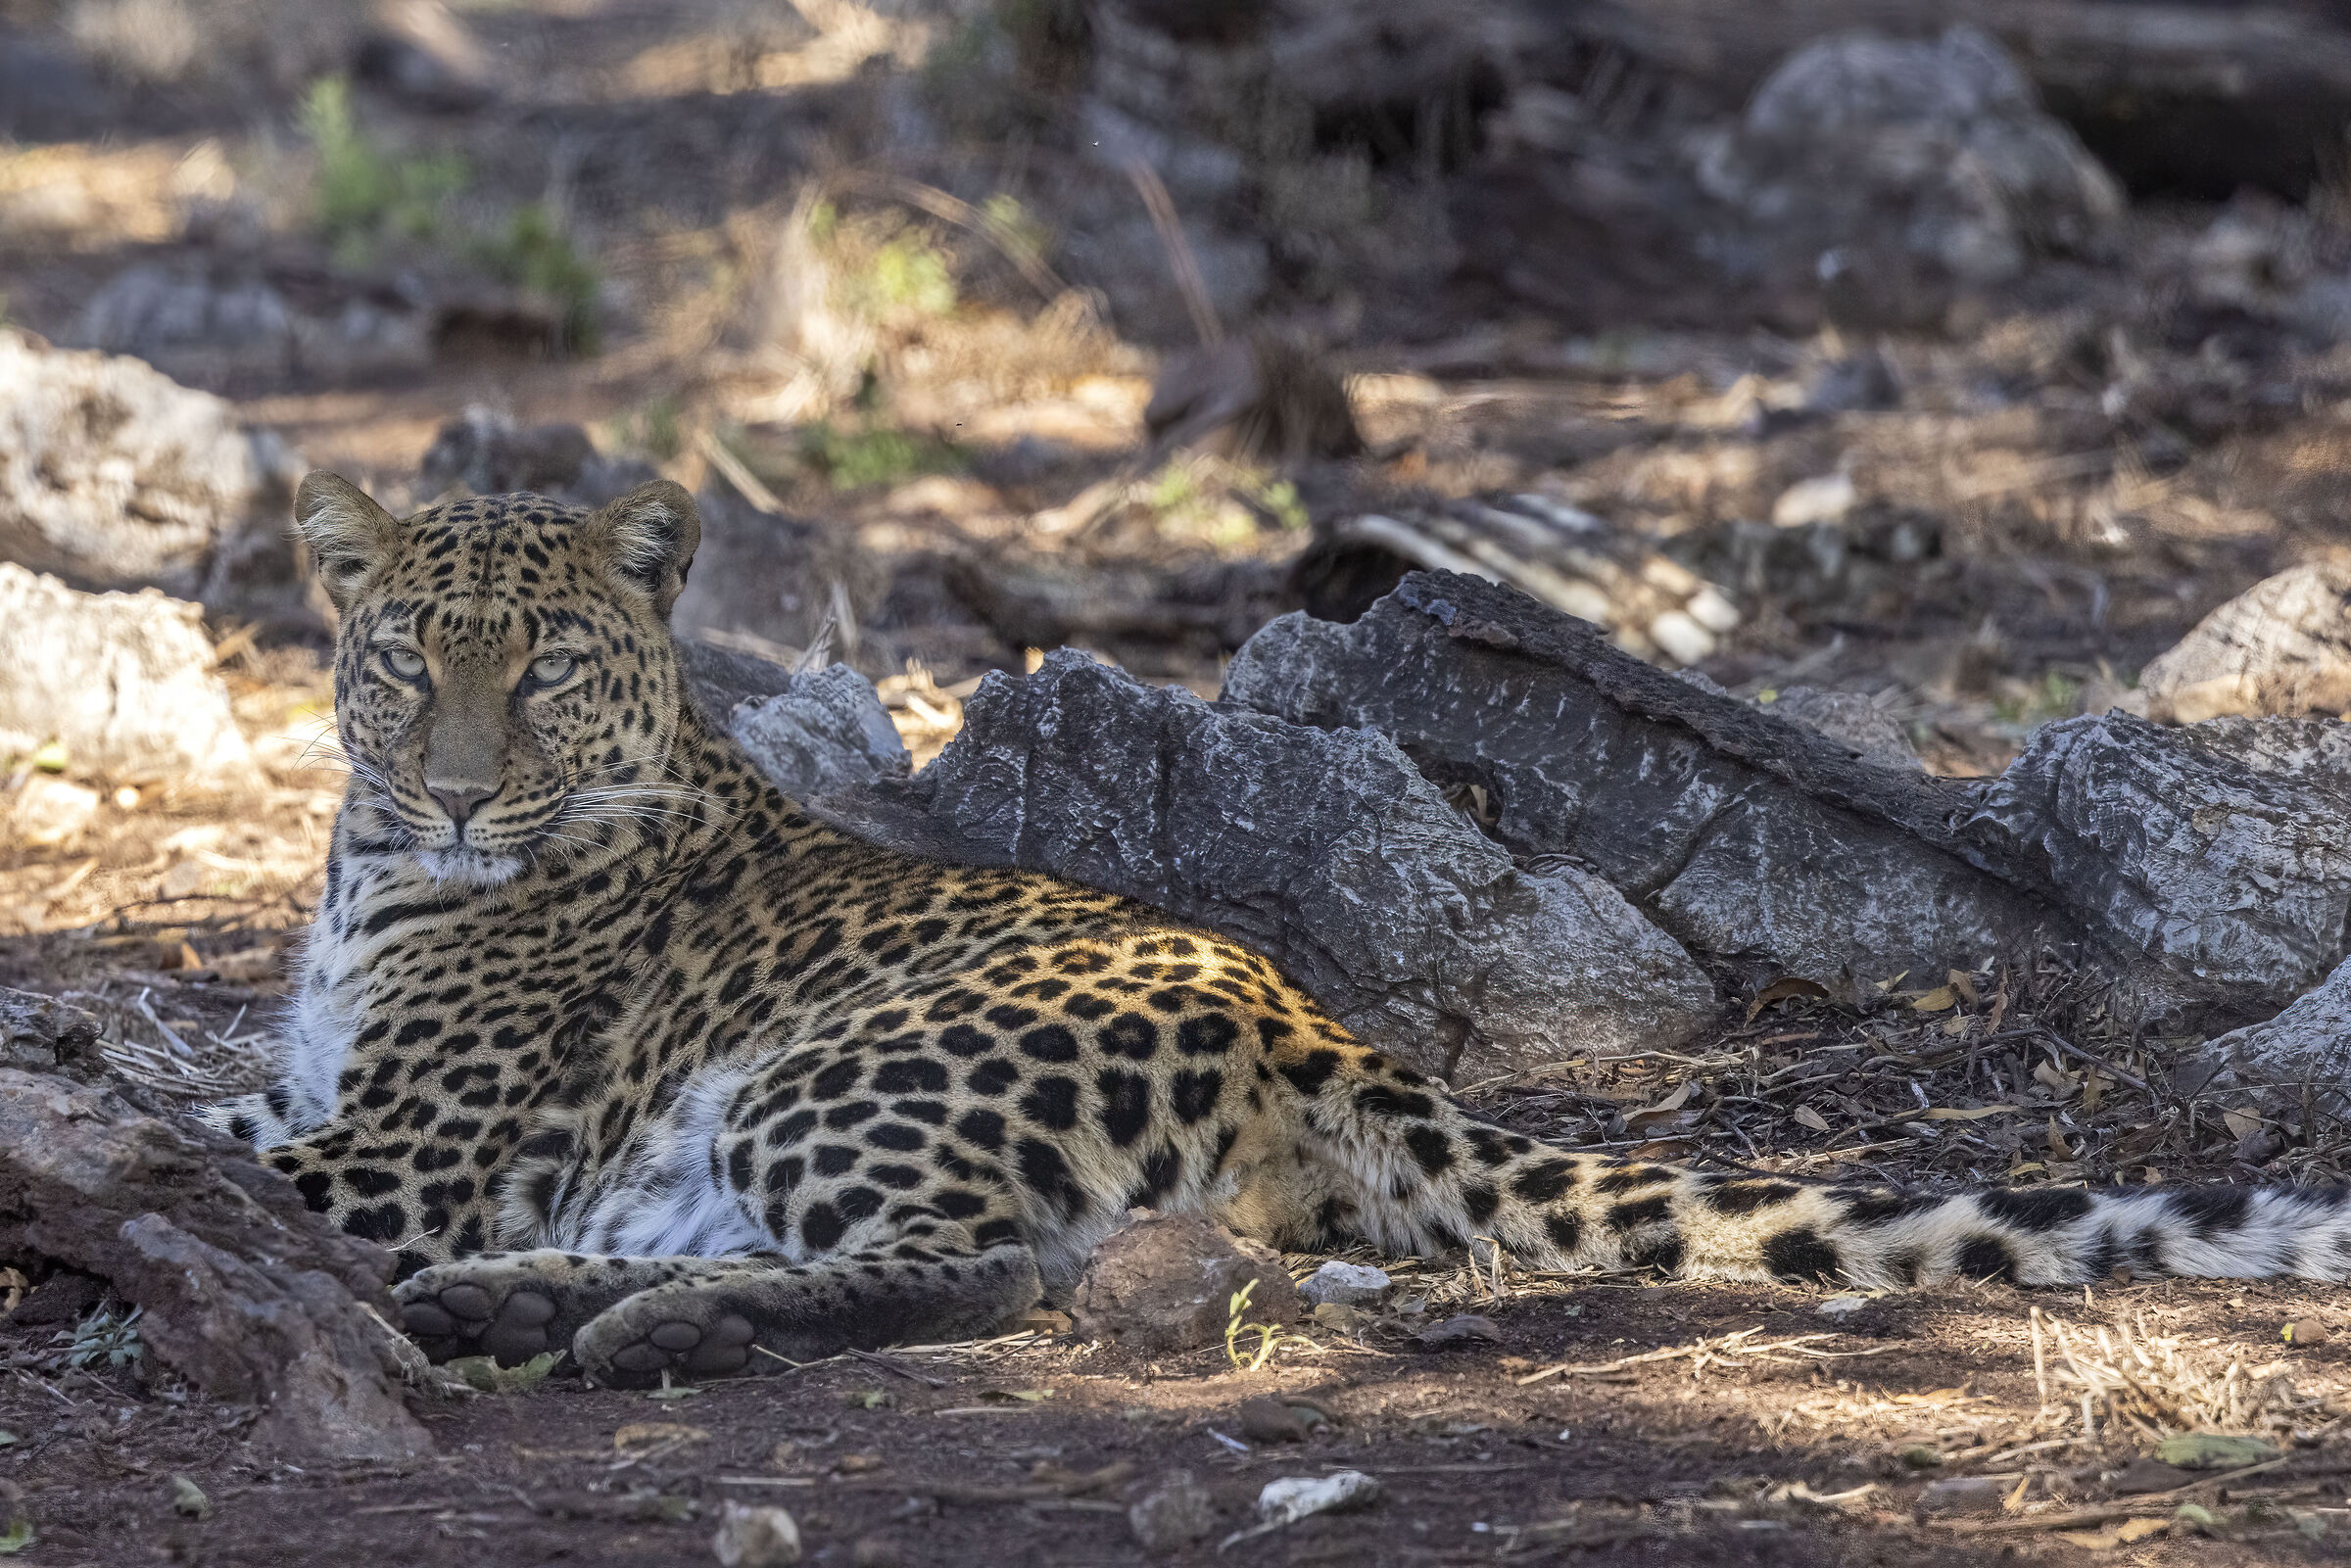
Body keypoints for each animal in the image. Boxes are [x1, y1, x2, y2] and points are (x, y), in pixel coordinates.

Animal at [201, 471, 2351, 1388]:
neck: (367, 855)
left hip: (835, 1069)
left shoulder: (405, 1150)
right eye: (409, 658)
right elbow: (185, 1118)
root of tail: (1311, 1015)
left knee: (992, 1271)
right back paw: (526, 1306)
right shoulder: (318, 1113)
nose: (458, 789)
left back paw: (644, 1328)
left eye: (547, 667)